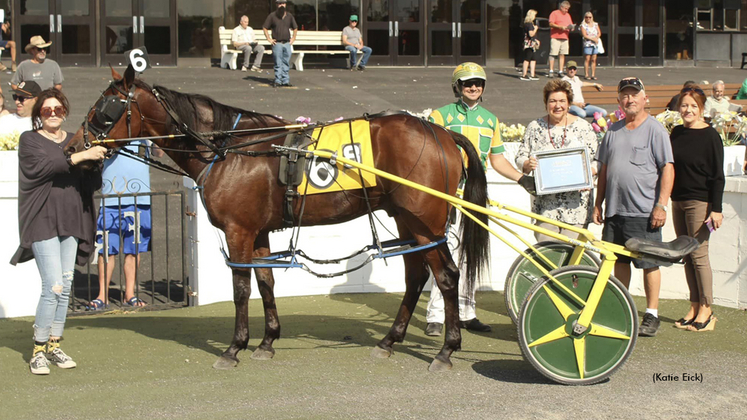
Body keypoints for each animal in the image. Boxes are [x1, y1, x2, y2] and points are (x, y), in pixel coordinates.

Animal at [67, 68, 490, 370]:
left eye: (104, 108)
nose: (74, 146)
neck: (229, 151)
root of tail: (443, 133)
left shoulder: (238, 232)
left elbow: (241, 289)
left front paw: (234, 347)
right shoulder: (258, 233)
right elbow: (266, 282)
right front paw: (267, 341)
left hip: (424, 225)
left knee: (446, 276)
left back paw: (447, 350)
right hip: (407, 222)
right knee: (416, 276)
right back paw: (389, 341)